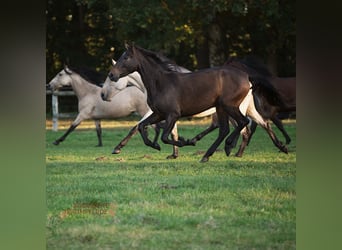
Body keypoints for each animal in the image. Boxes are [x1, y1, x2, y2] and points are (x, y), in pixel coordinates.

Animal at [47, 65, 178, 157]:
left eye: (60, 74)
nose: (48, 85)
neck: (87, 93)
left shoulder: (82, 115)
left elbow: (71, 127)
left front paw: (57, 141)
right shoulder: (96, 118)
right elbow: (99, 131)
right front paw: (99, 144)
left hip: (145, 111)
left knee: (156, 127)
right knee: (157, 127)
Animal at [109, 44, 286, 162]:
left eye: (126, 57)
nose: (112, 75)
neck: (161, 83)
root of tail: (246, 76)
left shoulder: (172, 114)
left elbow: (165, 136)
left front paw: (185, 142)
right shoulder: (159, 114)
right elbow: (141, 126)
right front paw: (156, 146)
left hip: (230, 106)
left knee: (242, 124)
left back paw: (228, 147)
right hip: (223, 108)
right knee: (233, 128)